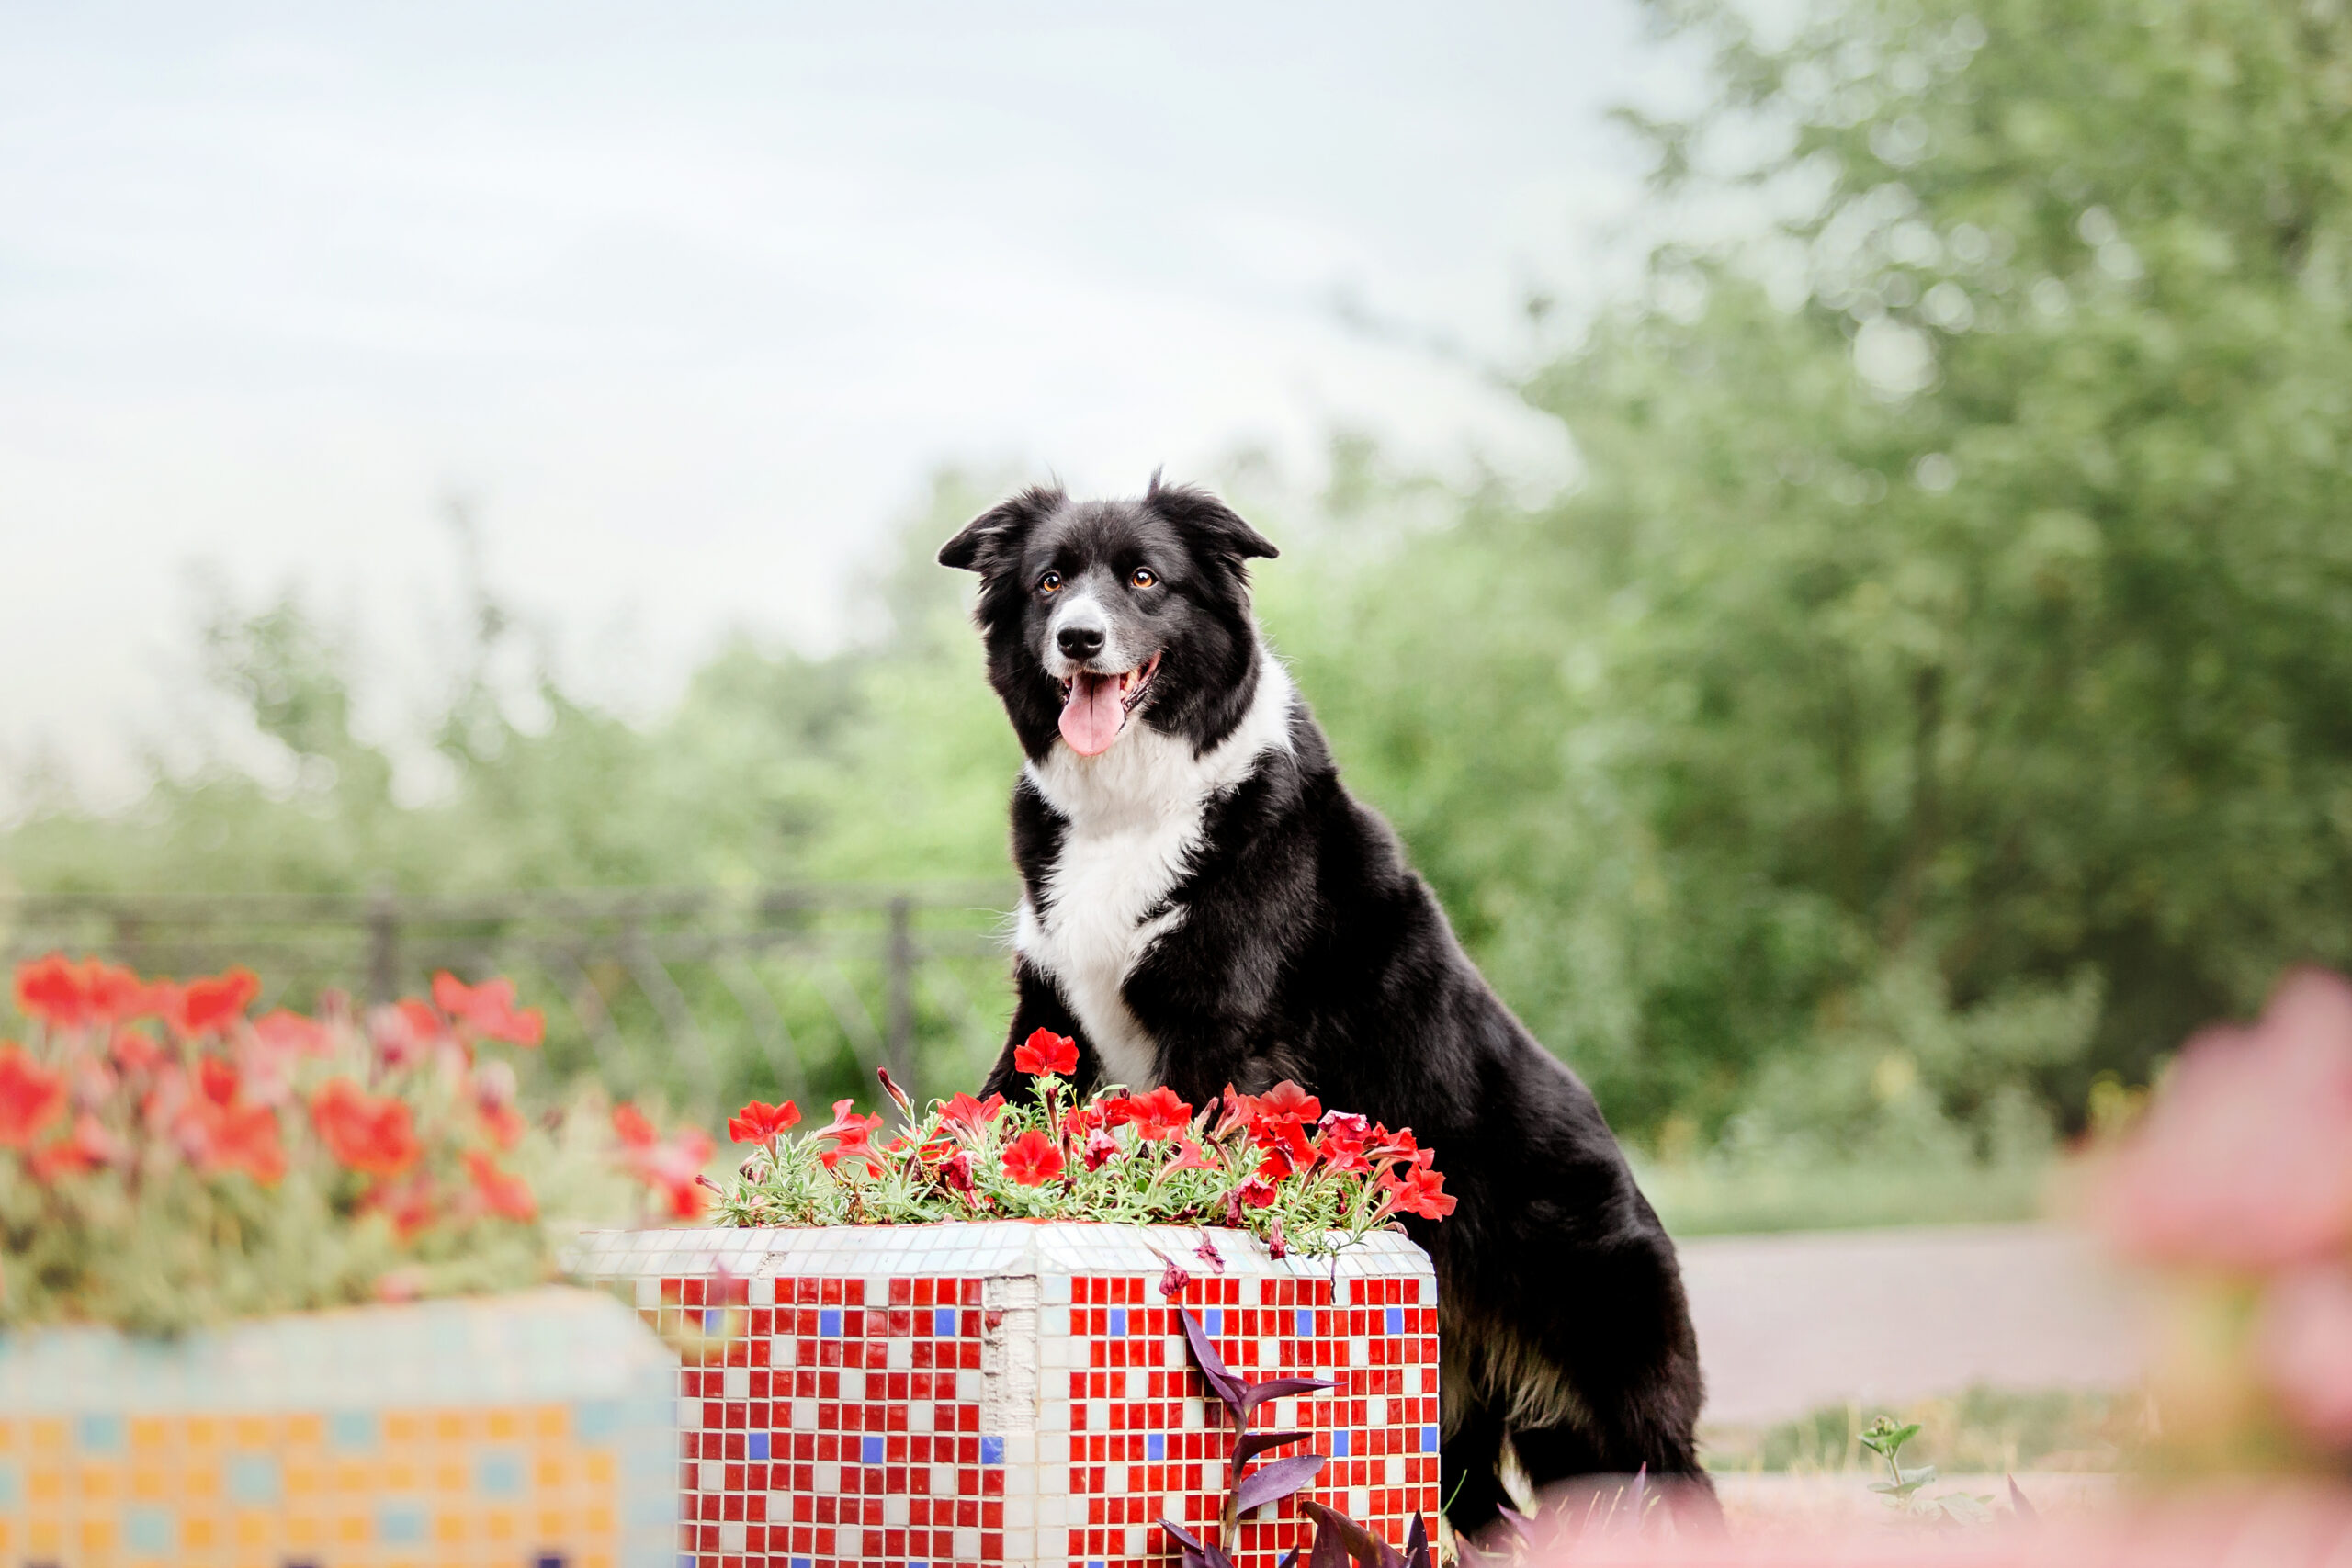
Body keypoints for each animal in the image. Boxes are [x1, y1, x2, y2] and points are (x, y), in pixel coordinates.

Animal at [935, 472, 1712, 1523]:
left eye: (1144, 578)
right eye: (1050, 582)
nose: (1080, 639)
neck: (1131, 805)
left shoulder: (1224, 1036)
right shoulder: (1051, 1018)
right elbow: (997, 1110)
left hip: (1614, 1401)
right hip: (1459, 1441)